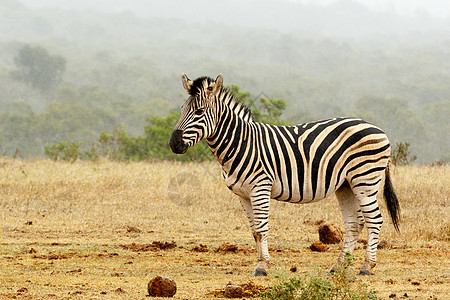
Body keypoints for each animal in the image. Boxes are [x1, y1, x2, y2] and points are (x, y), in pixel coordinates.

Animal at [169, 73, 400, 276]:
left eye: (199, 111)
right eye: (182, 109)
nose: (173, 143)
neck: (240, 143)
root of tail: (379, 129)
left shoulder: (260, 188)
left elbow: (262, 229)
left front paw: (262, 267)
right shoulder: (243, 194)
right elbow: (254, 232)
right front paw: (261, 263)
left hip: (365, 180)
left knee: (374, 220)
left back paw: (366, 267)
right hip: (346, 185)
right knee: (354, 223)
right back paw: (339, 266)